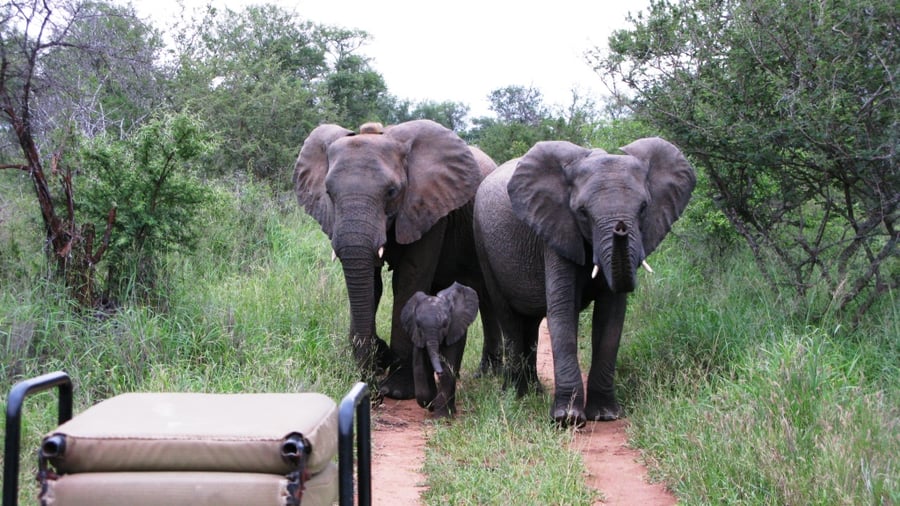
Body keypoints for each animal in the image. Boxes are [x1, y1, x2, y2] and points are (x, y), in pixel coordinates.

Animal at [293, 119, 502, 400]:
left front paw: (397, 390)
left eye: (392, 192)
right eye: (328, 192)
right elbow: (372, 284)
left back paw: (487, 374)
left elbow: (408, 280)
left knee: (486, 296)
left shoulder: (427, 205)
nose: (369, 384)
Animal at [401, 282, 479, 418]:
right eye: (418, 325)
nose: (438, 372)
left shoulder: (453, 332)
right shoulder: (417, 335)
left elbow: (448, 367)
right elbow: (419, 368)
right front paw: (431, 405)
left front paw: (441, 417)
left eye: (445, 324)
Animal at [473, 137, 696, 426]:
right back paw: (514, 395)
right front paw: (567, 418)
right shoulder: (555, 231)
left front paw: (605, 415)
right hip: (483, 245)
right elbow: (563, 311)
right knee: (509, 318)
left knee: (530, 324)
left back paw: (534, 391)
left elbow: (611, 316)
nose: (621, 227)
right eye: (582, 212)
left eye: (644, 208)